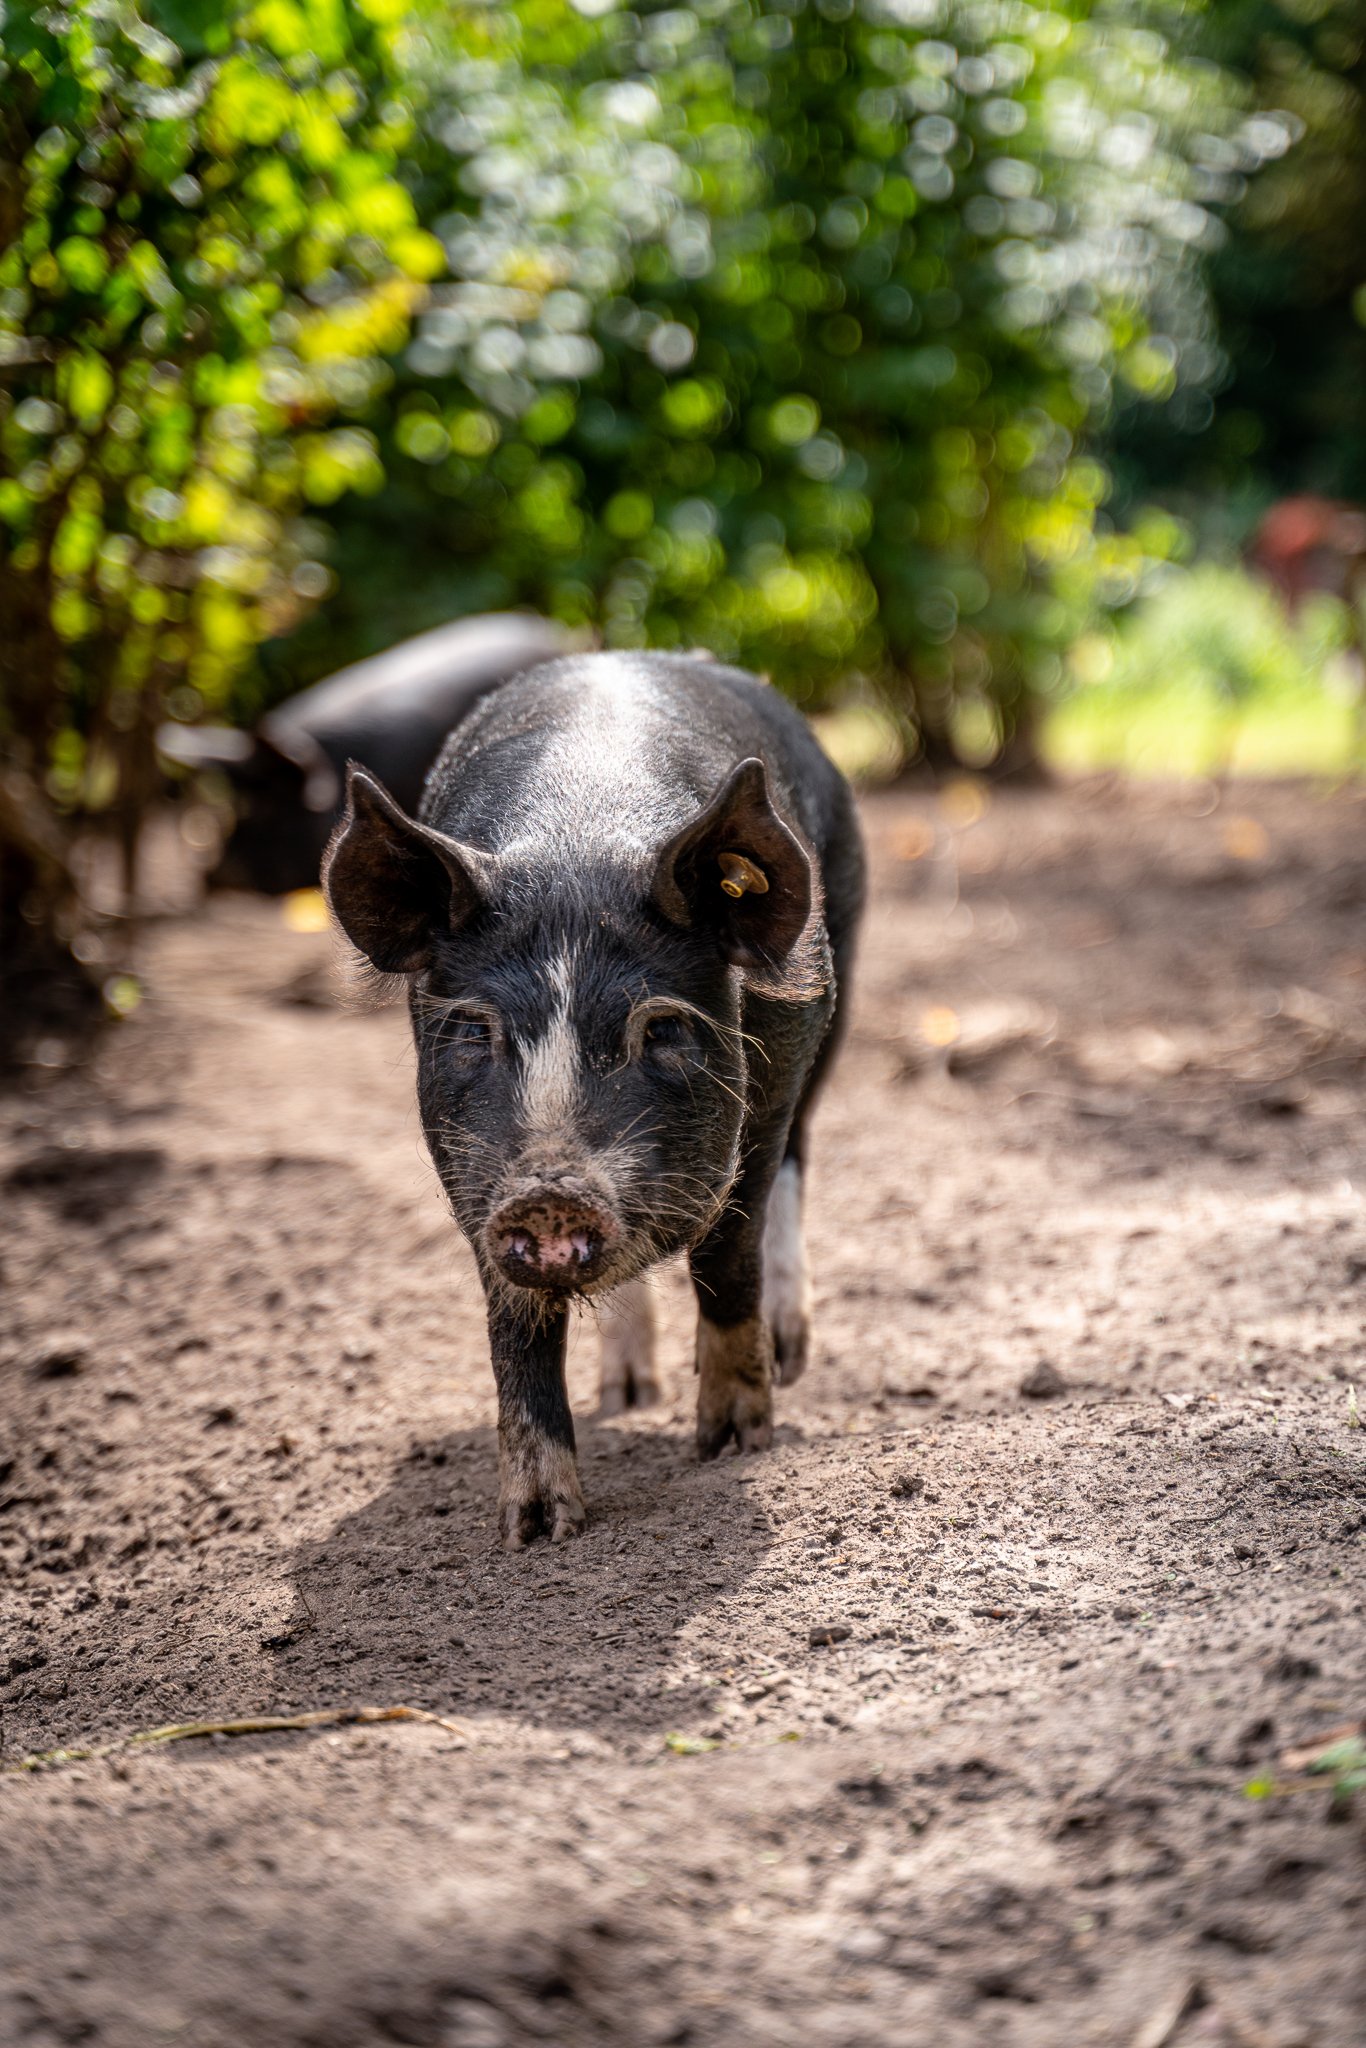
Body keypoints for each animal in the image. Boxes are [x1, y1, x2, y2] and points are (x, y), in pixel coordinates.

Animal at [323, 651, 864, 1540]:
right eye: (474, 1029)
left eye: (662, 1028)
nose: (550, 1193)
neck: (576, 844)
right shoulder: (475, 1181)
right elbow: (515, 1324)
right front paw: (539, 1528)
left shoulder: (784, 1051)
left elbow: (728, 1248)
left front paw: (734, 1445)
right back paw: (629, 1395)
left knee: (799, 1161)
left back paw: (789, 1356)